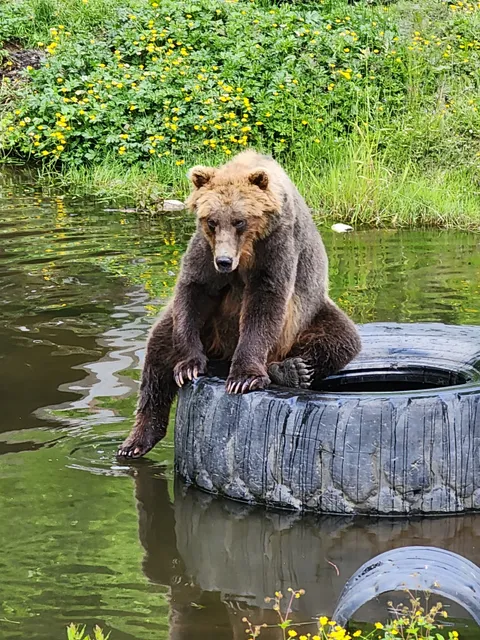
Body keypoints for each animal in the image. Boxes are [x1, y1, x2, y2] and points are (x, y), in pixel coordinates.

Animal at [117, 150, 361, 458]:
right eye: (212, 221)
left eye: (239, 221)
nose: (224, 261)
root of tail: (221, 351)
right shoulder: (205, 249)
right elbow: (194, 288)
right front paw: (188, 366)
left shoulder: (276, 245)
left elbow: (265, 304)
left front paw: (244, 377)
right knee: (157, 354)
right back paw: (136, 441)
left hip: (312, 313)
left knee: (341, 338)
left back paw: (292, 370)